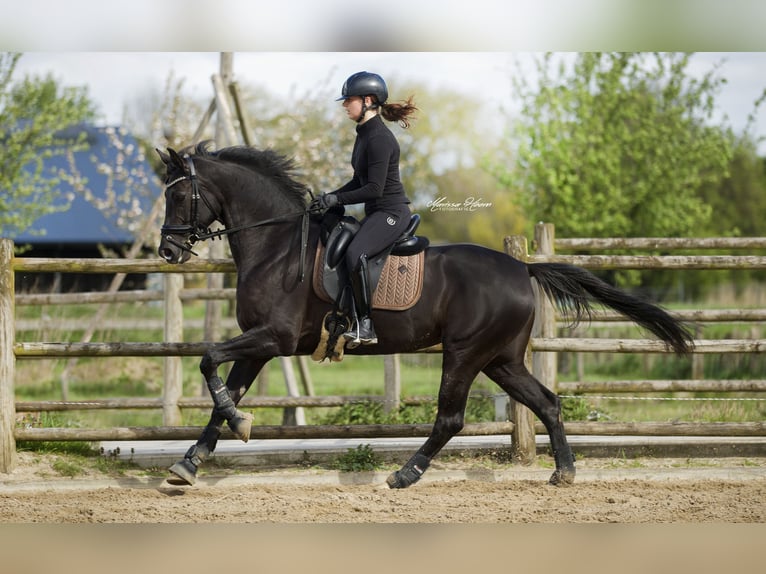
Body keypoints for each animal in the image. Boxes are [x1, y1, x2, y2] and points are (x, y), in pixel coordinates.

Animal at [156, 142, 694, 488]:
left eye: (178, 195)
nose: (167, 251)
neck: (277, 245)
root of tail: (522, 267)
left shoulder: (276, 338)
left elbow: (208, 361)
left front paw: (235, 425)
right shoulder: (260, 342)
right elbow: (222, 395)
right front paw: (191, 462)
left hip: (465, 352)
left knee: (450, 418)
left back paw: (405, 474)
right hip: (500, 359)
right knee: (547, 403)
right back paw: (563, 472)